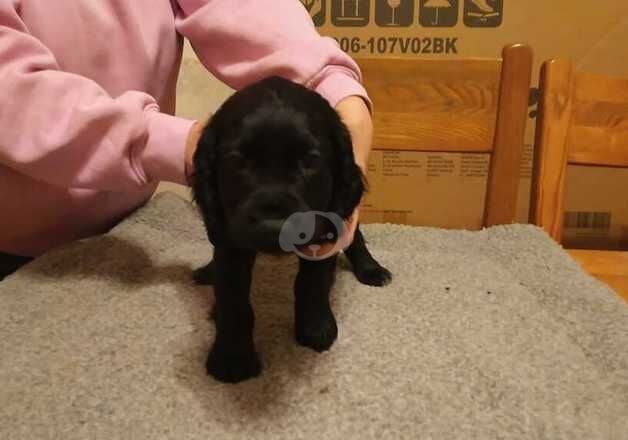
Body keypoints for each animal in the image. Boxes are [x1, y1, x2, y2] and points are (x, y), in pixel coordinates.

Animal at [191, 75, 390, 382]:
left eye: (310, 160)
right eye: (238, 161)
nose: (274, 227)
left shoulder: (325, 229)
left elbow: (312, 281)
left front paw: (316, 327)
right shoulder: (229, 239)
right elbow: (233, 297)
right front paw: (232, 357)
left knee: (355, 236)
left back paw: (371, 269)